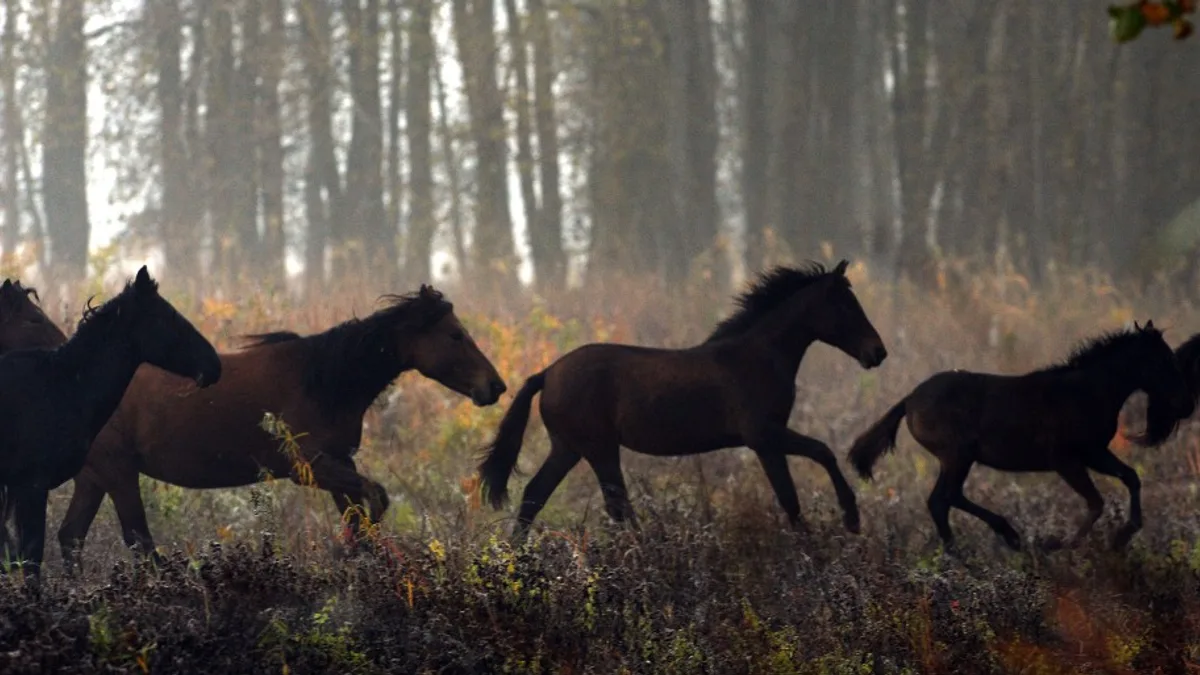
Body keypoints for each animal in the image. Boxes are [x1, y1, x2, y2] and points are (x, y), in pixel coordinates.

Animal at [56, 284, 506, 570]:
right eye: (455, 335)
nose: (495, 386)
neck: (324, 380)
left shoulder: (338, 464)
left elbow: (360, 515)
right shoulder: (309, 467)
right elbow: (375, 501)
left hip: (94, 477)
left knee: (70, 538)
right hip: (118, 472)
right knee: (138, 544)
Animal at [478, 260, 888, 538]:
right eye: (846, 305)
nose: (878, 352)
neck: (756, 356)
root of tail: (548, 373)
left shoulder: (769, 440)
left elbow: (799, 485)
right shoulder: (763, 436)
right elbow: (814, 464)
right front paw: (848, 520)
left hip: (569, 448)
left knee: (535, 495)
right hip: (598, 448)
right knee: (615, 504)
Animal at [847, 321, 1192, 552]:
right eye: (1164, 361)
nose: (1186, 404)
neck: (1088, 391)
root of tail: (909, 400)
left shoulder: (1095, 453)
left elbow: (1131, 477)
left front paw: (1123, 535)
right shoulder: (1066, 460)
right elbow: (1095, 502)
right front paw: (1057, 544)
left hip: (957, 458)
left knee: (943, 500)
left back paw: (978, 548)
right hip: (958, 456)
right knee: (944, 498)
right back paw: (995, 542)